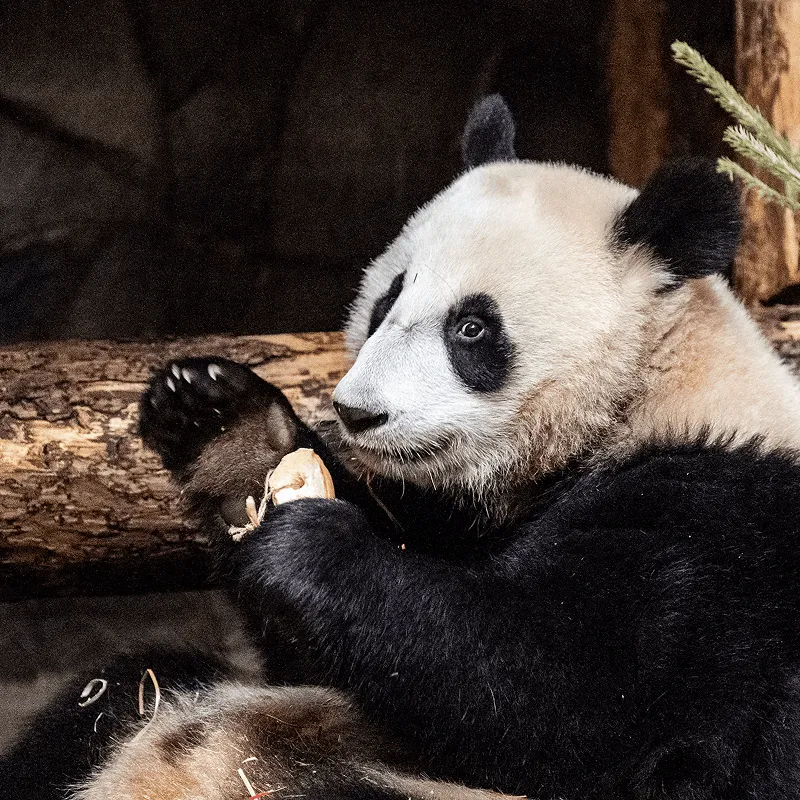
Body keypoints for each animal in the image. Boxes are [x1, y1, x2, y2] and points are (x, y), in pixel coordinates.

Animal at [5, 95, 800, 800]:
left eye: (472, 329)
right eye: (388, 298)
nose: (357, 413)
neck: (642, 393)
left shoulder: (716, 533)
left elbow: (575, 702)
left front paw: (312, 548)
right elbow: (323, 656)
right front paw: (227, 426)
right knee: (118, 694)